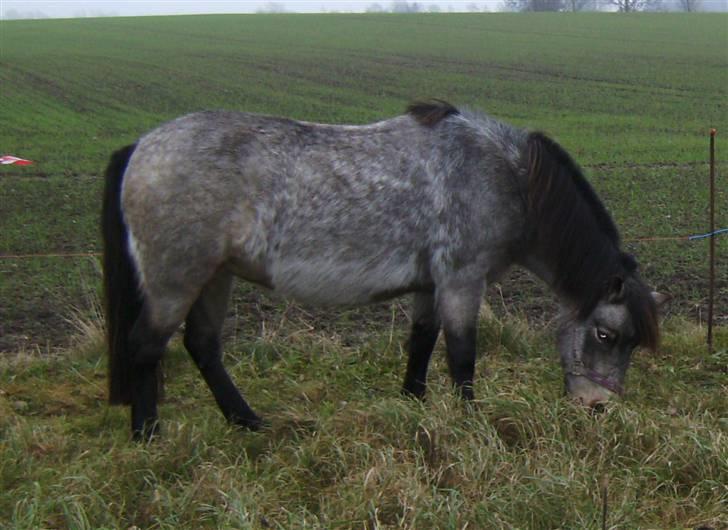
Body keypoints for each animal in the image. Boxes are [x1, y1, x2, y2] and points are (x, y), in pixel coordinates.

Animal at [102, 100, 668, 440]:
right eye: (605, 333)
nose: (598, 407)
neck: (507, 178)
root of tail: (141, 148)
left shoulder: (429, 284)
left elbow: (421, 342)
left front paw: (413, 405)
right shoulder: (462, 280)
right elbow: (462, 355)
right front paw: (471, 424)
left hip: (215, 276)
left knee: (202, 346)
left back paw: (248, 423)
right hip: (177, 280)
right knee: (146, 346)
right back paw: (149, 438)